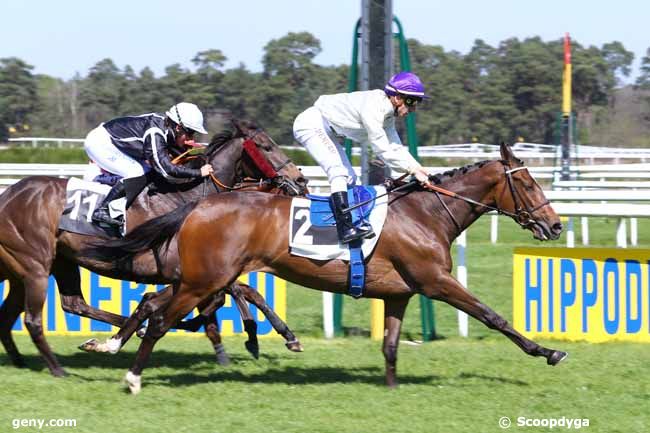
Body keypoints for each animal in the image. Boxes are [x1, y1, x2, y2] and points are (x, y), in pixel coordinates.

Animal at [0, 118, 308, 374]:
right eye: (266, 146)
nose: (301, 180)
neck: (187, 198)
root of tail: (10, 193)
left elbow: (232, 294)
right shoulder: (186, 269)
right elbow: (233, 293)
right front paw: (266, 336)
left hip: (58, 261)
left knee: (70, 304)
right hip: (35, 265)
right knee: (33, 319)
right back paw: (57, 368)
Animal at [88, 142, 564, 392]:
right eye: (527, 183)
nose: (556, 225)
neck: (424, 213)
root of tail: (199, 205)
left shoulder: (399, 293)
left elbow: (391, 345)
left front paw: (392, 388)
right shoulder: (436, 281)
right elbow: (492, 315)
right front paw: (547, 351)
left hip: (201, 277)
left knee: (152, 302)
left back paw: (109, 345)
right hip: (206, 279)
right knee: (161, 318)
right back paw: (132, 377)